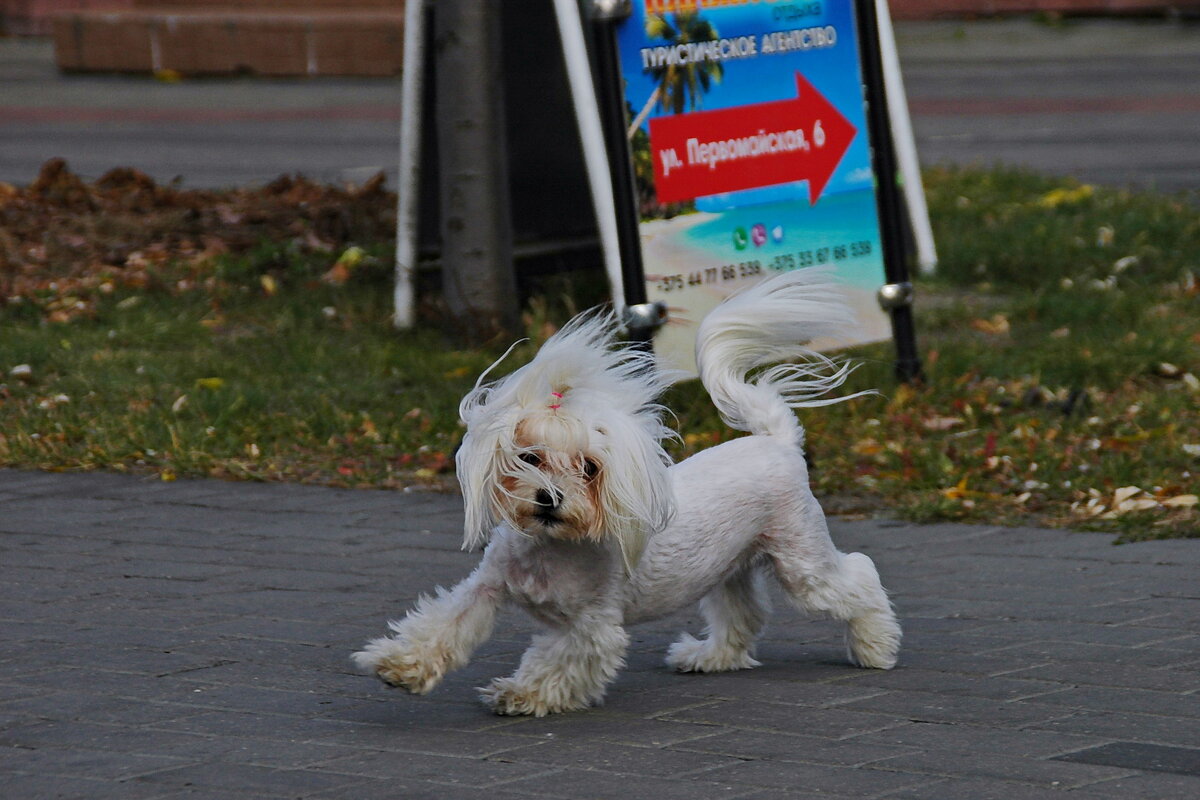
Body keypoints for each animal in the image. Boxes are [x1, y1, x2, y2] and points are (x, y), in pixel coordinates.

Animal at [352, 271, 902, 719]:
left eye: (590, 468)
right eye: (529, 457)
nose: (549, 498)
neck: (552, 549)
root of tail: (777, 440)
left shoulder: (591, 629)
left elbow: (556, 664)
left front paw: (521, 694)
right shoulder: (485, 589)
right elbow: (443, 624)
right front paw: (400, 664)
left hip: (801, 563)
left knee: (860, 578)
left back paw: (875, 646)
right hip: (730, 566)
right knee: (744, 614)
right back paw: (709, 657)